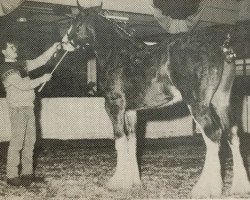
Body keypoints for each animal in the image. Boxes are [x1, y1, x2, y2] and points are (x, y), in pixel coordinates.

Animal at [62, 2, 250, 198]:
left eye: (75, 22)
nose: (63, 43)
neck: (118, 54)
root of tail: (221, 43)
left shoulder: (114, 105)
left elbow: (120, 140)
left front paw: (117, 182)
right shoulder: (131, 111)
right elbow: (132, 142)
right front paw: (133, 182)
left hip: (198, 104)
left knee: (213, 135)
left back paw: (205, 188)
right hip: (221, 102)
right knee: (232, 134)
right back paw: (239, 186)